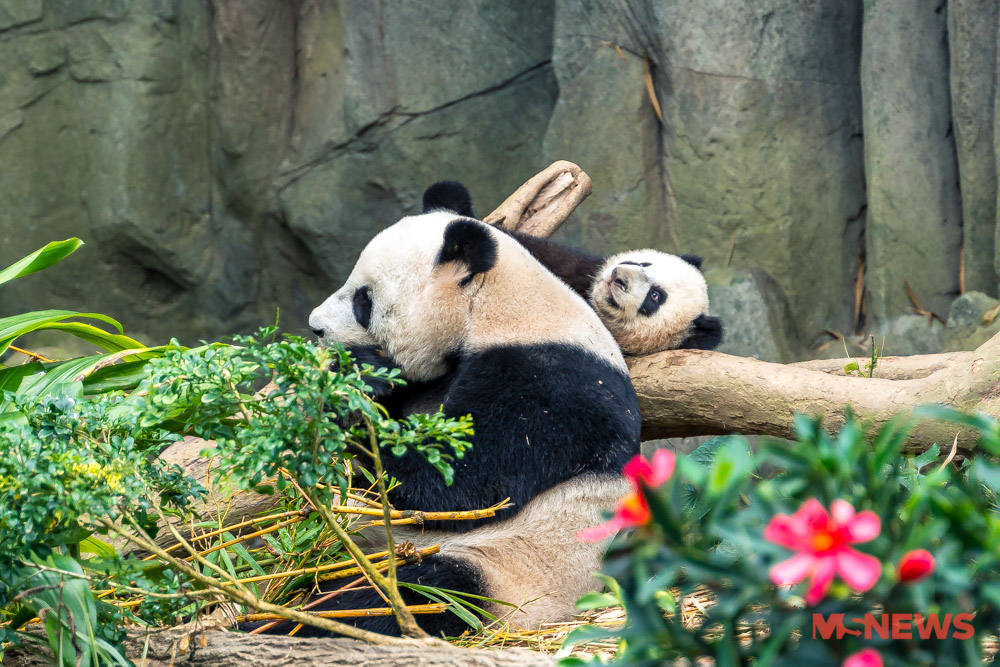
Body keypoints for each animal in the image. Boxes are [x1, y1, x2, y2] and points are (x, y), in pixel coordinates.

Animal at [290, 209, 642, 637]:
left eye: (363, 299)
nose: (316, 326)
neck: (495, 307)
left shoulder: (548, 384)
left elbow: (453, 482)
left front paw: (354, 383)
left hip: (506, 572)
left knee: (405, 596)